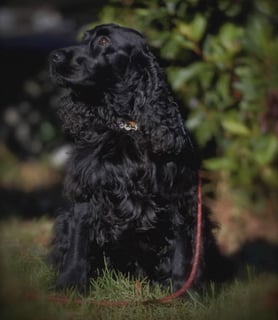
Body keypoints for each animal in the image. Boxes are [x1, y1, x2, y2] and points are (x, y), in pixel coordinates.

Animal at [48, 24, 222, 292]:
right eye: (84, 38)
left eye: (104, 41)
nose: (54, 56)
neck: (126, 125)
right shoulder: (87, 190)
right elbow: (78, 244)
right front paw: (70, 284)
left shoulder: (179, 197)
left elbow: (182, 251)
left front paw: (183, 290)